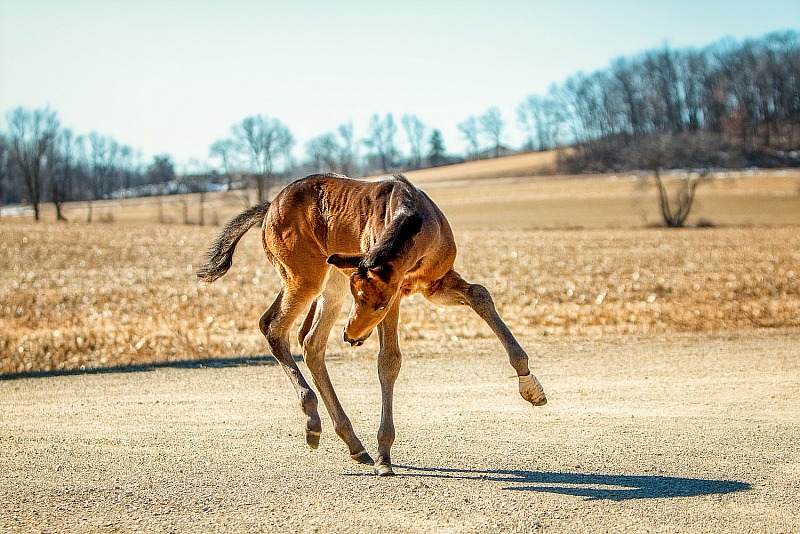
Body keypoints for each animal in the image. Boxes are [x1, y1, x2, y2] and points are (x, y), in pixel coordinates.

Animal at [198, 173, 548, 478]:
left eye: (377, 304)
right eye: (359, 297)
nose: (350, 335)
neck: (417, 222)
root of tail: (270, 205)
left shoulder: (432, 285)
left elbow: (480, 295)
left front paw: (530, 385)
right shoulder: (399, 295)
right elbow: (389, 361)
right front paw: (385, 456)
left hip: (333, 279)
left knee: (311, 341)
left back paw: (352, 443)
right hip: (306, 277)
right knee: (273, 326)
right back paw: (314, 420)